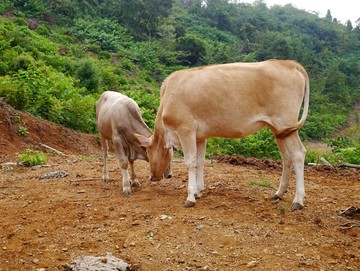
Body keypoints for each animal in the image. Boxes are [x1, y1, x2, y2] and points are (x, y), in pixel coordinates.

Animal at [135, 60, 310, 211]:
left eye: (148, 152)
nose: (151, 177)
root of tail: (289, 63)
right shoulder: (200, 136)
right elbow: (200, 161)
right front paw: (199, 191)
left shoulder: (186, 130)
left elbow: (190, 162)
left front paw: (190, 197)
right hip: (279, 130)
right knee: (286, 157)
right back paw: (278, 193)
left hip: (285, 122)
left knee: (298, 154)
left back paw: (298, 200)